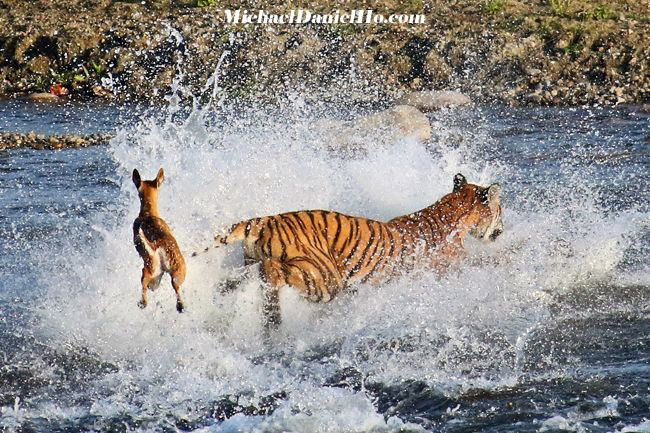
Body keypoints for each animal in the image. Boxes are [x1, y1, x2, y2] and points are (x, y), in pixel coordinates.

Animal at [194, 172, 502, 328]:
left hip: (255, 260)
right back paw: (272, 318)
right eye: (502, 209)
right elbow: (487, 264)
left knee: (248, 275)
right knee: (271, 272)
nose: (501, 231)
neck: (449, 211)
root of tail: (264, 220)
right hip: (323, 278)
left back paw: (231, 293)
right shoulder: (451, 268)